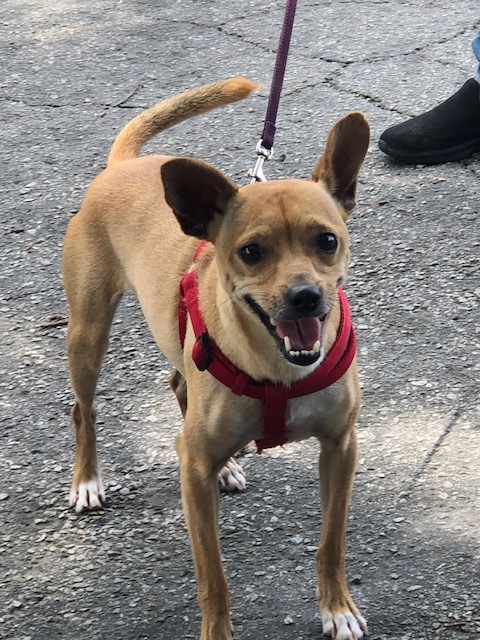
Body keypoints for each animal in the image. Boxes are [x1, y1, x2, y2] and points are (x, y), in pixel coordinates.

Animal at [62, 76, 372, 640]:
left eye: (327, 241)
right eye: (251, 252)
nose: (305, 297)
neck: (280, 369)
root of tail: (122, 166)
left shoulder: (341, 447)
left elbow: (332, 541)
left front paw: (337, 607)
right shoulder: (193, 474)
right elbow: (213, 576)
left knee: (178, 383)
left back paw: (225, 465)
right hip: (87, 335)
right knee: (84, 409)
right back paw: (87, 483)